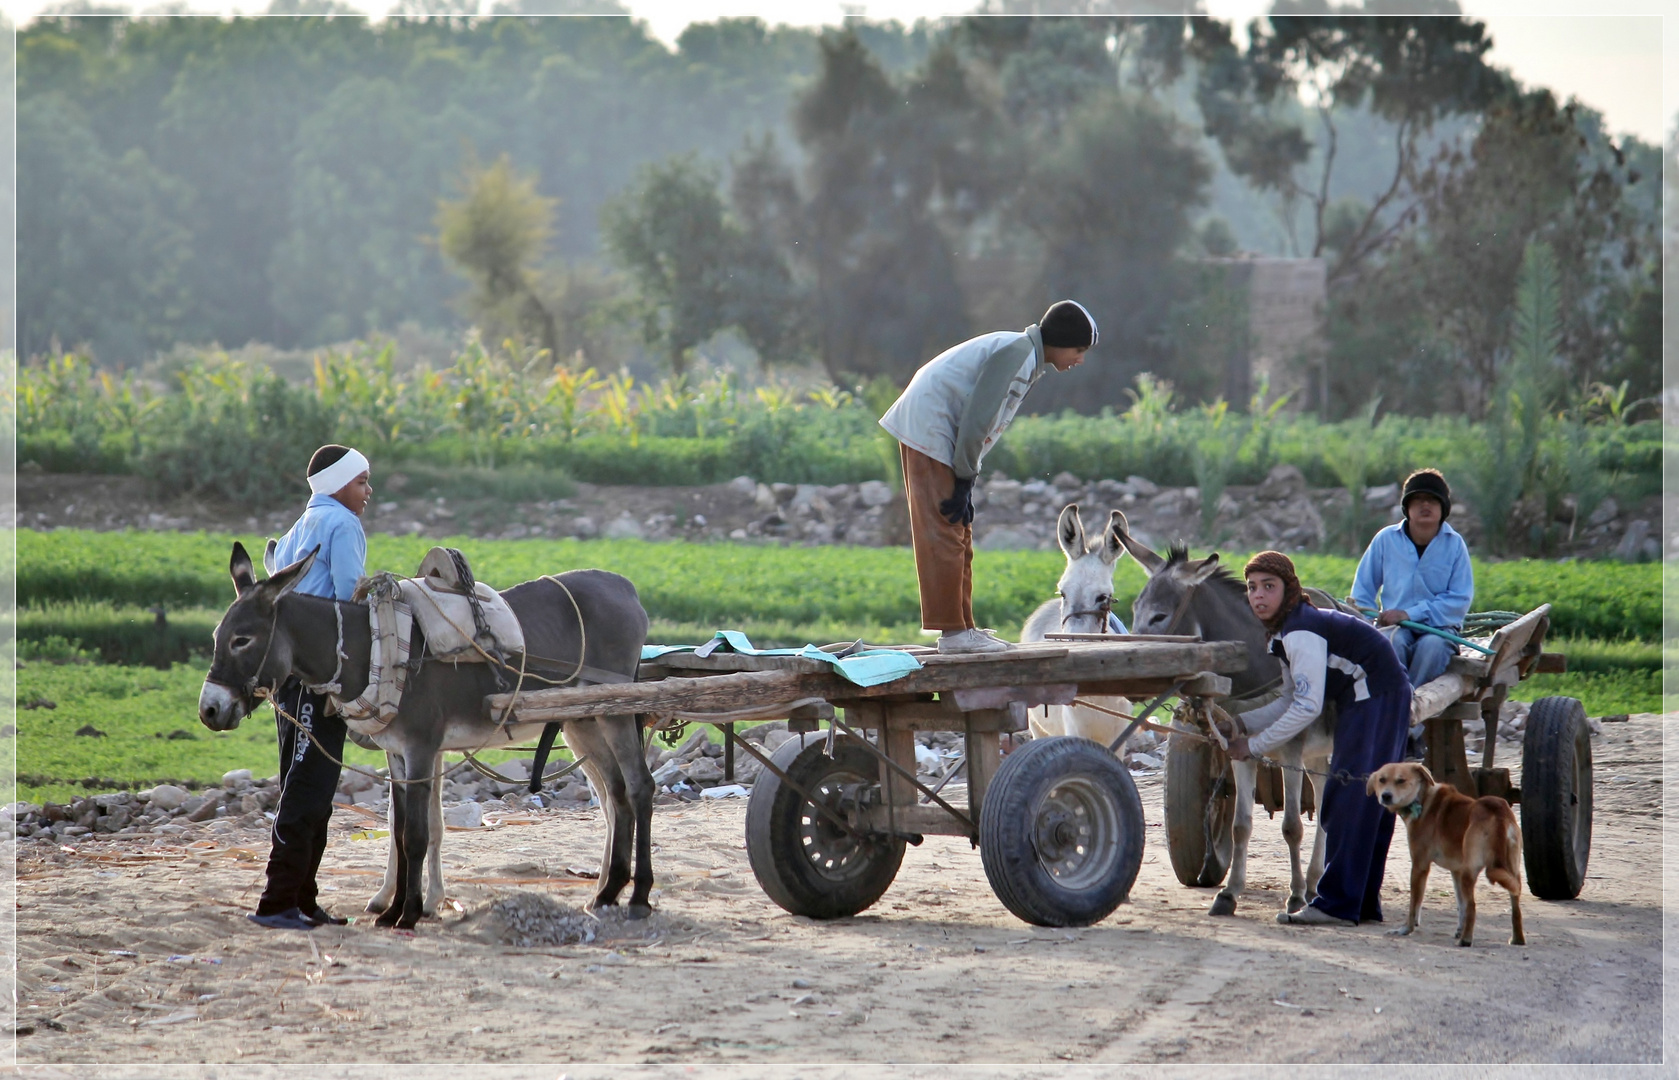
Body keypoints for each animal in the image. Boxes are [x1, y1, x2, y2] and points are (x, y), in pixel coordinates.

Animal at [1370, 759, 1531, 947]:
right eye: (1382, 780)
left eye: (1400, 781)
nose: (1385, 796)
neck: (1423, 797)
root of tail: (1497, 810)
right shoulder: (1457, 871)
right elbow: (1460, 905)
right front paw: (1459, 928)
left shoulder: (1420, 866)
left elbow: (1414, 904)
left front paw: (1406, 929)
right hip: (1512, 871)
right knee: (1515, 908)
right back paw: (1517, 939)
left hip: (1470, 872)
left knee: (1473, 906)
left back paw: (1466, 940)